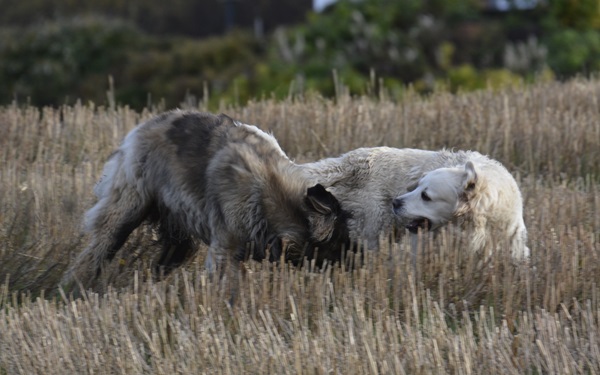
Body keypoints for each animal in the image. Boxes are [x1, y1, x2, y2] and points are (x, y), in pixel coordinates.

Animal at [62, 110, 352, 290]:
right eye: (337, 241)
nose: (354, 264)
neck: (271, 191)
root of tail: (144, 126)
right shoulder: (225, 245)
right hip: (127, 209)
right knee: (101, 246)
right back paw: (73, 286)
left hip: (177, 227)